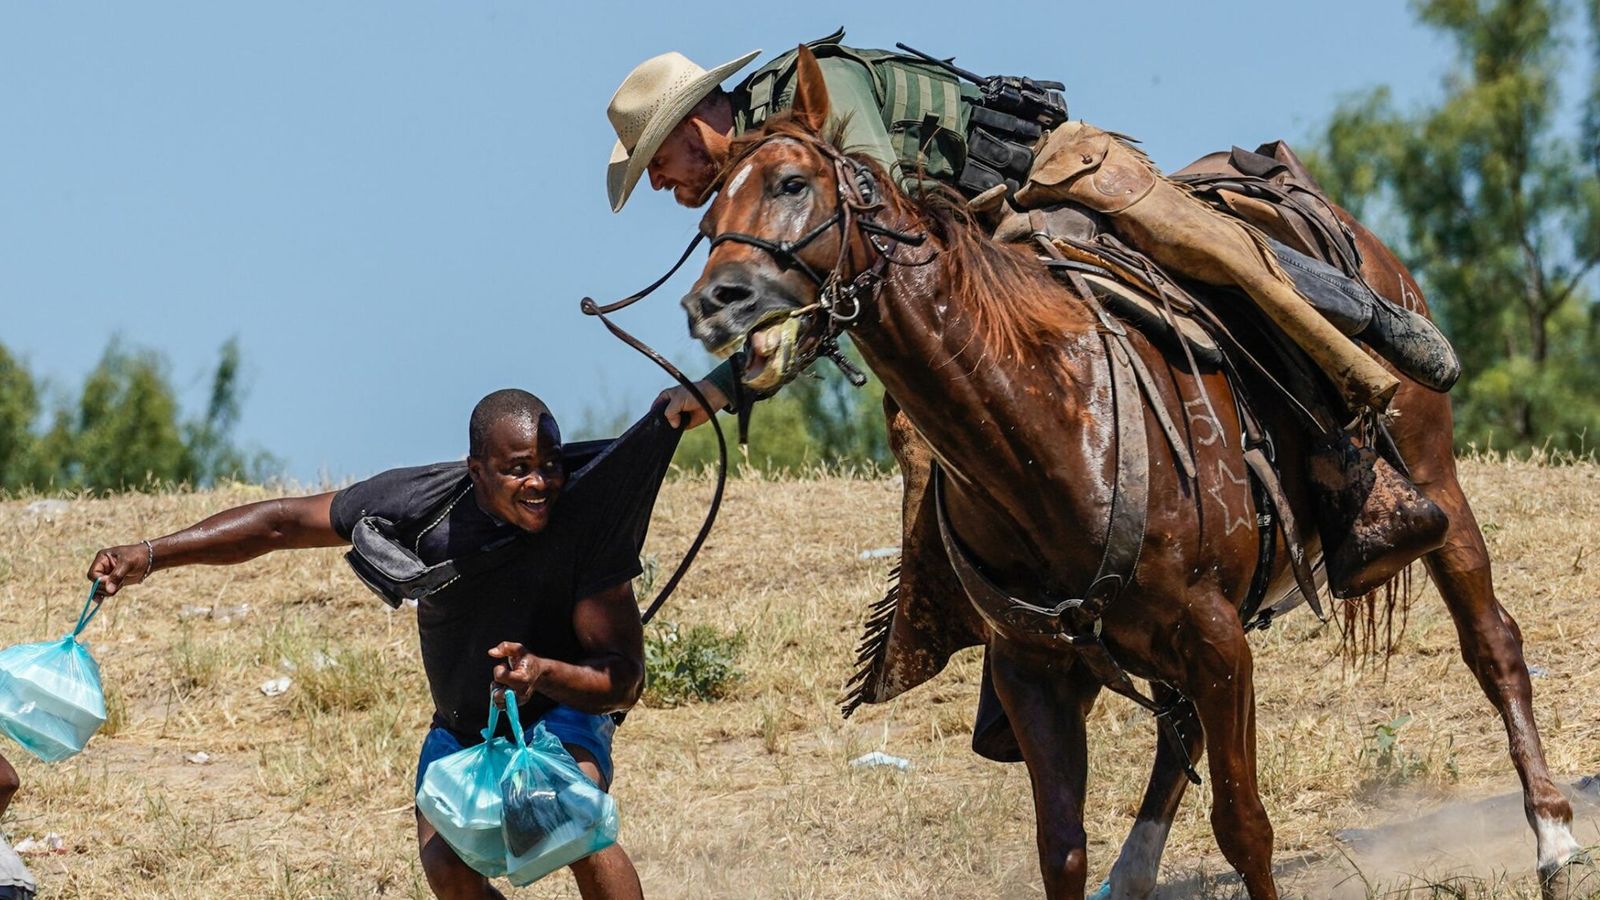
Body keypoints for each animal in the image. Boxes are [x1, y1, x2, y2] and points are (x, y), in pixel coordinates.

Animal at [678, 45, 1587, 890]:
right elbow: (1063, 849)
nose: (713, 302)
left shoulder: (1216, 638)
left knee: (1493, 644)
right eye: (711, 208)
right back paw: (1137, 869)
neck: (1049, 423)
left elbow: (1245, 826)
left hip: (1435, 481)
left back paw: (1553, 835)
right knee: (1176, 732)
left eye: (792, 183)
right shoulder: (1035, 669)